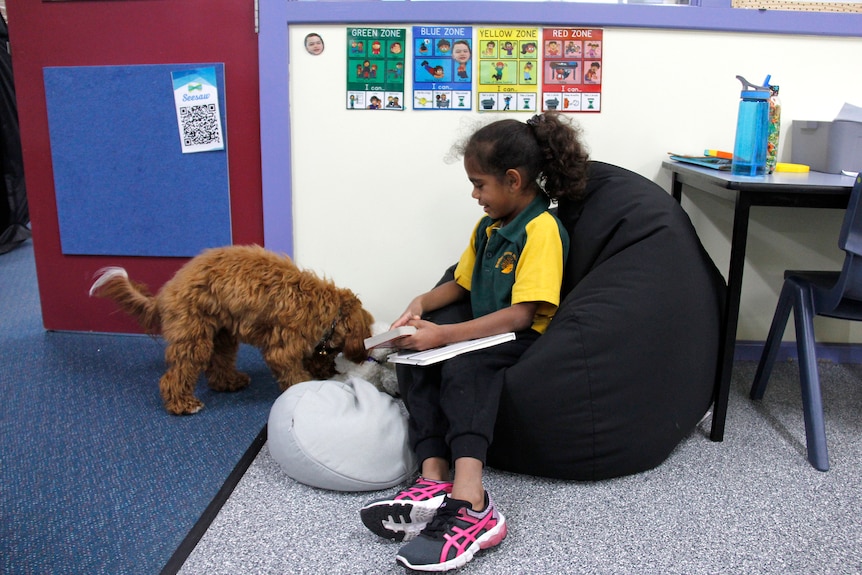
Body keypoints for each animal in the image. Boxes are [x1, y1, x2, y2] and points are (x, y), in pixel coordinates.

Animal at [89, 244, 376, 414]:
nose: (330, 372)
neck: (328, 310)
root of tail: (167, 291)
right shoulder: (283, 347)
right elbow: (292, 373)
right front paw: (302, 388)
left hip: (222, 334)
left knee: (218, 367)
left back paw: (230, 382)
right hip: (194, 336)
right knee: (175, 374)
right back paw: (182, 403)